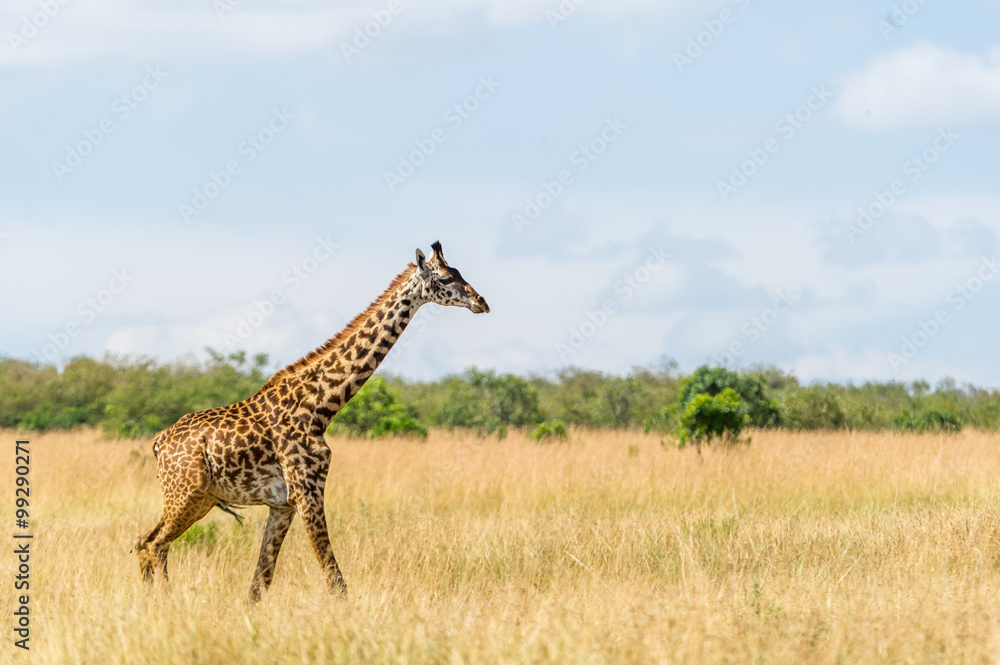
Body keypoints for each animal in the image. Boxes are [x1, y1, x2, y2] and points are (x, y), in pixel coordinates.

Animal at [134, 241, 489, 601]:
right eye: (445, 278)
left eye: (458, 272)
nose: (481, 301)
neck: (320, 406)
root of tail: (159, 441)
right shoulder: (308, 491)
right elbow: (334, 579)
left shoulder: (282, 504)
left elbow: (259, 583)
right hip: (186, 492)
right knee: (154, 543)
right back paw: (165, 602)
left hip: (201, 497)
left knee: (144, 540)